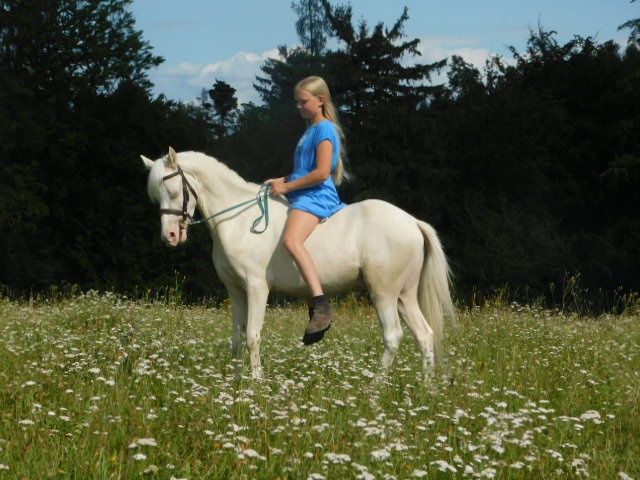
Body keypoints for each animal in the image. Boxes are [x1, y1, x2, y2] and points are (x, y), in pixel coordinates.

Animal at [141, 147, 455, 381]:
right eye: (156, 196)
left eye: (173, 191)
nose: (169, 236)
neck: (238, 219)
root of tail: (412, 222)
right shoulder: (236, 291)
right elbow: (236, 338)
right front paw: (237, 383)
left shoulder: (257, 288)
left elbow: (253, 335)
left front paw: (256, 384)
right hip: (404, 296)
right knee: (425, 336)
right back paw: (426, 389)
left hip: (384, 294)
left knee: (393, 336)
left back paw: (375, 389)